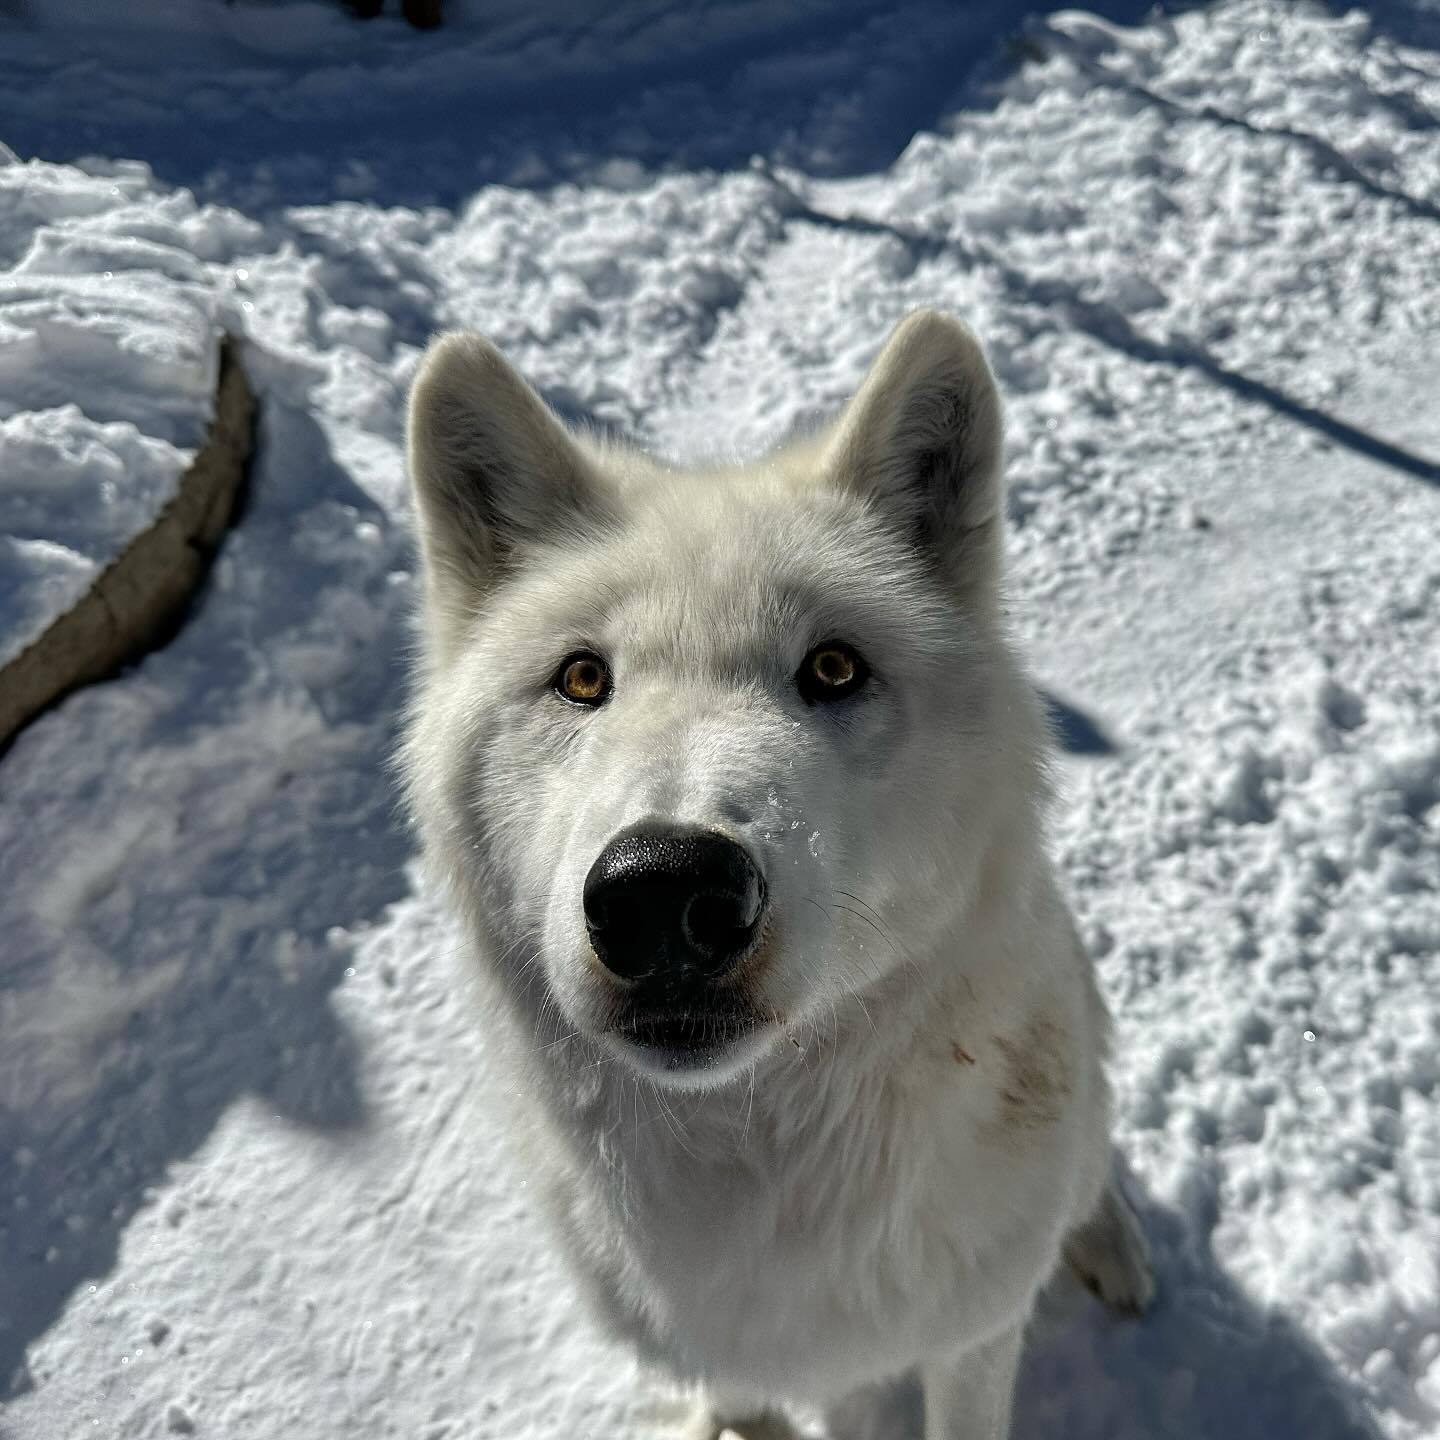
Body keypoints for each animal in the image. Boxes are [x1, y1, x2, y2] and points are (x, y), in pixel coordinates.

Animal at [400, 309, 1152, 1434]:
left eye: (834, 668)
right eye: (582, 678)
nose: (663, 889)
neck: (748, 1164)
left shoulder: (966, 1341)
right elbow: (741, 1387)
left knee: (1093, 1172)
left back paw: (1113, 1248)